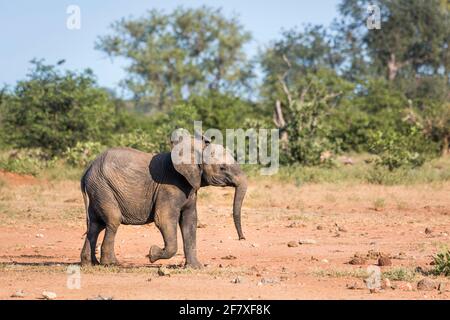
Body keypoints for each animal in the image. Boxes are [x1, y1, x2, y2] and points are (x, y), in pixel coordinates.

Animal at [81, 135, 250, 268]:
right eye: (222, 168)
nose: (242, 238)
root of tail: (87, 170)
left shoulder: (190, 187)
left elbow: (190, 221)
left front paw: (195, 267)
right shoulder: (169, 187)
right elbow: (163, 219)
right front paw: (152, 254)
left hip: (98, 189)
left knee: (96, 225)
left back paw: (90, 263)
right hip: (103, 187)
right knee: (112, 221)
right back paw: (111, 264)